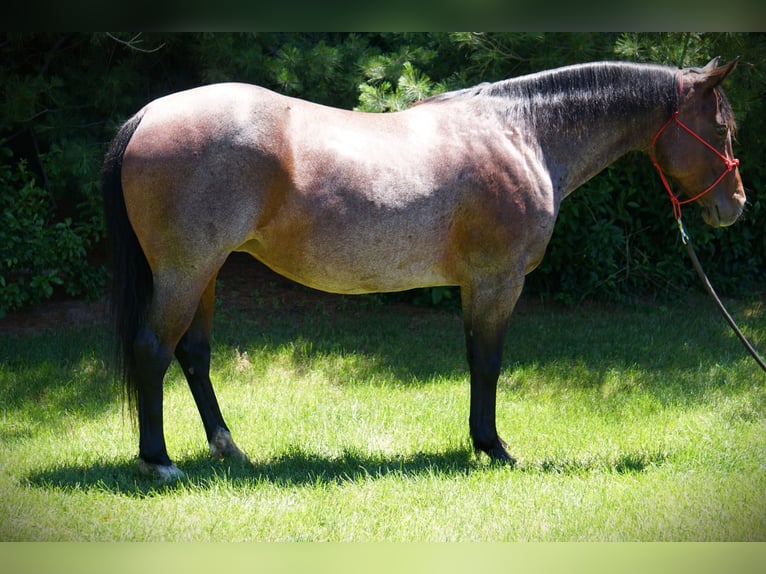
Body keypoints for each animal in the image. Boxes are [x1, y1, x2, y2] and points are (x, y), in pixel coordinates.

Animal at [102, 57, 745, 480]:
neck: (522, 133)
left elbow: (474, 359)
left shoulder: (475, 285)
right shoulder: (498, 281)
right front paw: (494, 448)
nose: (734, 206)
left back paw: (229, 449)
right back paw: (160, 462)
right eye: (720, 128)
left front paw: (482, 443)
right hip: (186, 272)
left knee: (193, 354)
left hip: (207, 272)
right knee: (154, 349)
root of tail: (149, 115)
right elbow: (488, 362)